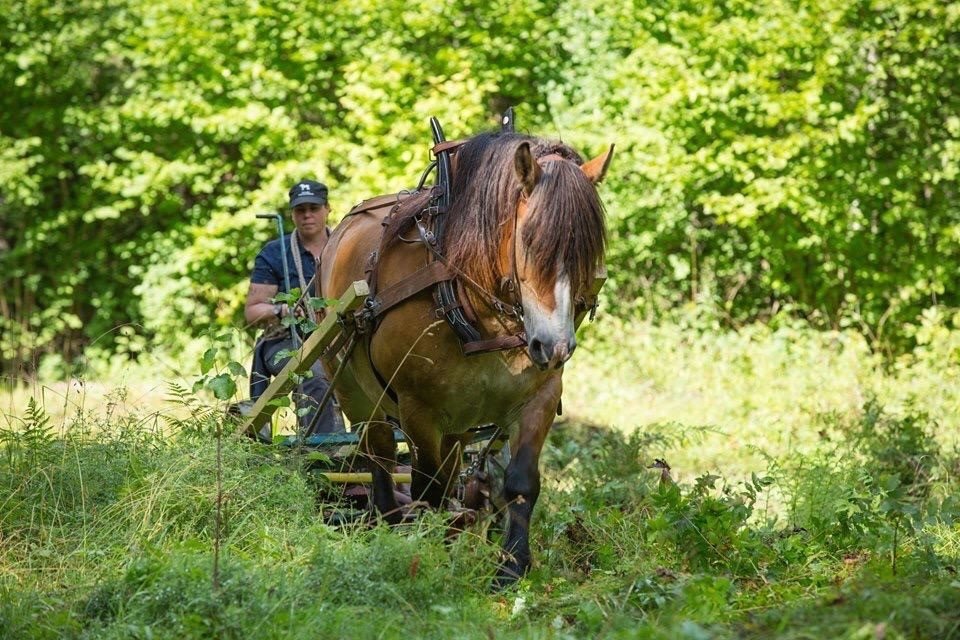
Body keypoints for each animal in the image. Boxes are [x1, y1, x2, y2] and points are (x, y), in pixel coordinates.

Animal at [318, 130, 612, 584]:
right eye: (531, 242)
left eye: (587, 250)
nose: (555, 347)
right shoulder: (417, 408)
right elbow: (429, 487)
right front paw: (429, 554)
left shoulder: (540, 397)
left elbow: (521, 481)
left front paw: (512, 565)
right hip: (355, 390)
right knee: (379, 452)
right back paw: (387, 521)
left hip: (459, 419)